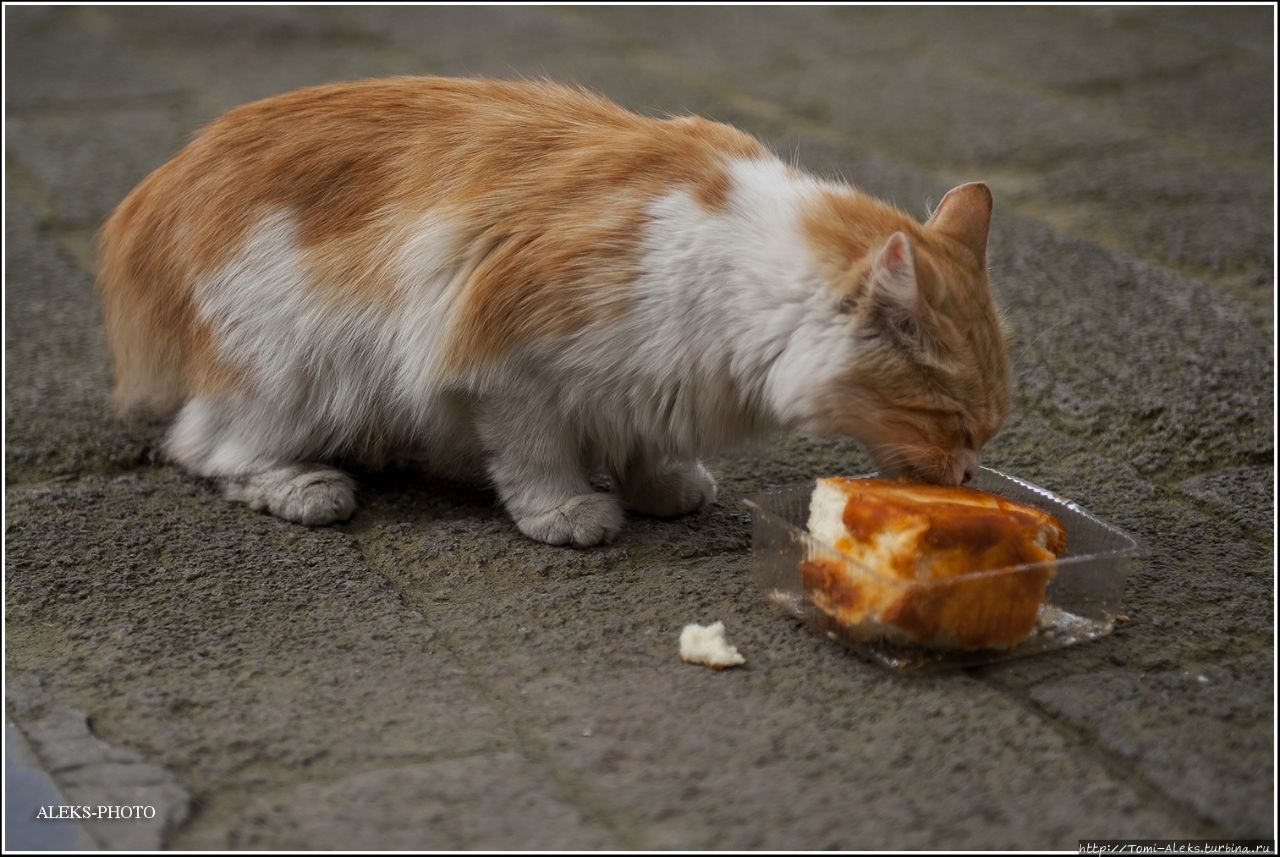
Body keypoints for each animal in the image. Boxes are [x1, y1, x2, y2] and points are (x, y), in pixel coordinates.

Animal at [97, 78, 1008, 550]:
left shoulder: (653, 375)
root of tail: (170, 176)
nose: (969, 475)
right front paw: (567, 513)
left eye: (988, 432)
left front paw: (662, 486)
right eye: (956, 425)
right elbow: (537, 459)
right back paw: (306, 487)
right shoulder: (509, 370)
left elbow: (647, 440)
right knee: (202, 447)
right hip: (293, 368)